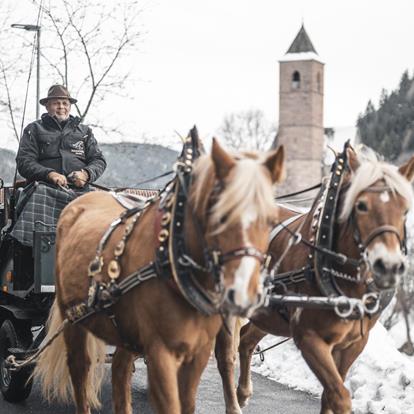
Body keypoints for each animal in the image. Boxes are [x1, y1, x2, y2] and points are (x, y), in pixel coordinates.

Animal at [32, 133, 286, 414]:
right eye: (221, 215)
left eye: (272, 220)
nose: (243, 292)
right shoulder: (160, 351)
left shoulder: (197, 351)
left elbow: (207, 379)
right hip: (74, 321)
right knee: (80, 370)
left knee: (120, 370)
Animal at [215, 146, 414, 414]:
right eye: (361, 206)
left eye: (405, 209)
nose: (389, 266)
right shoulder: (308, 338)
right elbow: (339, 396)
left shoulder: (353, 344)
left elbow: (330, 394)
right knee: (225, 355)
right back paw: (234, 403)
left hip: (271, 316)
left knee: (246, 340)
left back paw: (243, 392)